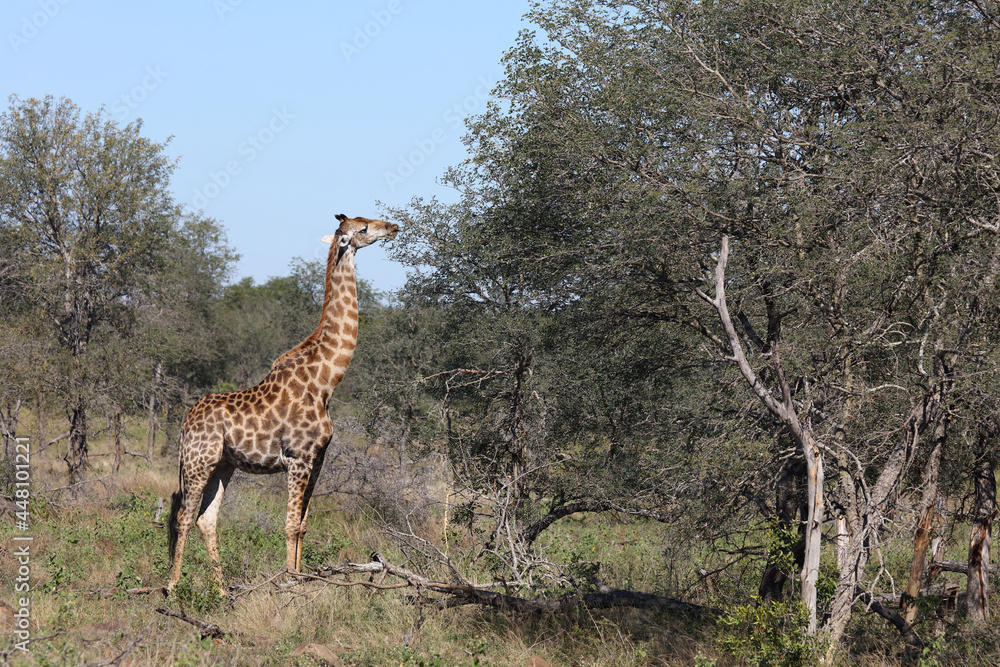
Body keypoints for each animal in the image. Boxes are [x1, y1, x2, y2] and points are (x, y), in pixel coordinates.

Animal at [167, 214, 399, 592]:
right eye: (363, 228)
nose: (393, 226)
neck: (326, 381)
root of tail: (185, 423)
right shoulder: (298, 458)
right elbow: (289, 524)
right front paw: (290, 583)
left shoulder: (317, 459)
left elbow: (302, 524)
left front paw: (302, 578)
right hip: (198, 461)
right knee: (184, 515)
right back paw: (172, 588)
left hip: (223, 466)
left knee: (206, 518)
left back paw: (221, 590)